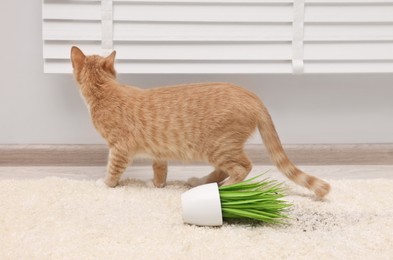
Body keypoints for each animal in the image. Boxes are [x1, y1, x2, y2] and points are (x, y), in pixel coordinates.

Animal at [69, 46, 328, 197]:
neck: (105, 90)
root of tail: (250, 94)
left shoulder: (119, 148)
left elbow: (113, 169)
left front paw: (105, 184)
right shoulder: (158, 150)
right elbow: (160, 169)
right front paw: (158, 185)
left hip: (217, 146)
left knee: (243, 167)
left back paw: (225, 188)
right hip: (219, 149)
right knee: (223, 170)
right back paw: (201, 182)